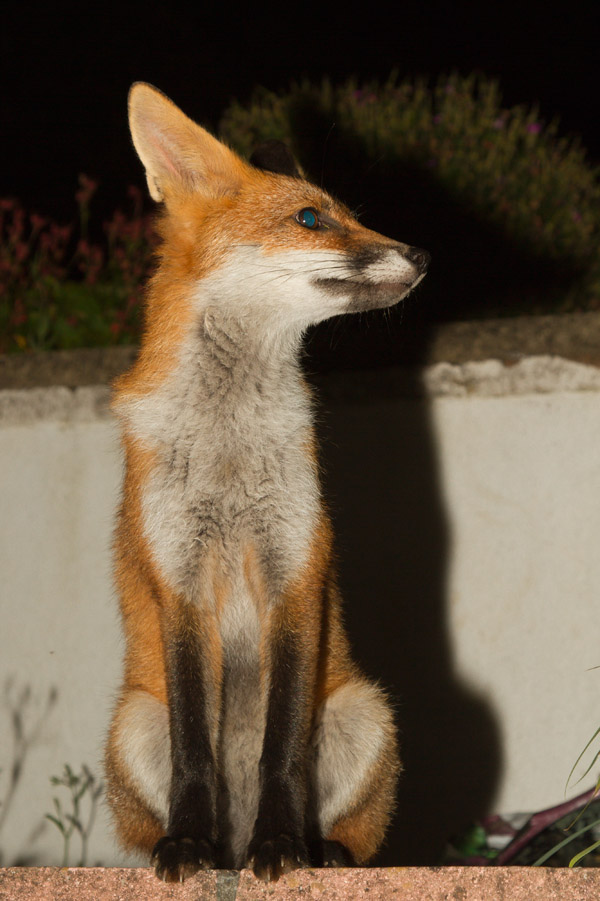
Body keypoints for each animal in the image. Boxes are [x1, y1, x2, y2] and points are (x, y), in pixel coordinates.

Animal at [104, 82, 429, 883]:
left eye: (347, 211)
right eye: (311, 219)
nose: (422, 253)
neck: (229, 453)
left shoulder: (295, 567)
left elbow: (280, 747)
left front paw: (282, 846)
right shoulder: (179, 580)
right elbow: (195, 751)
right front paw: (187, 847)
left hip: (364, 710)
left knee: (353, 830)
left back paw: (324, 852)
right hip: (134, 721)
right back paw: (204, 849)